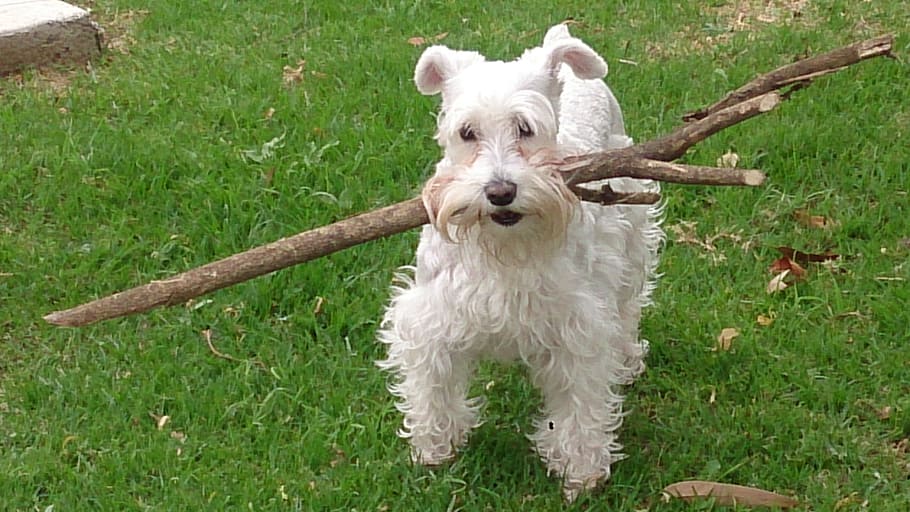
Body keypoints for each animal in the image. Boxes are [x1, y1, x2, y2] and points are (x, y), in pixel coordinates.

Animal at [376, 24, 664, 500]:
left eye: (525, 128)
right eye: (466, 132)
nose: (500, 192)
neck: (505, 247)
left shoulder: (577, 330)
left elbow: (580, 402)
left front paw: (581, 470)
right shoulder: (432, 317)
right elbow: (432, 385)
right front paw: (435, 447)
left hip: (632, 239)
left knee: (627, 312)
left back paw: (626, 360)